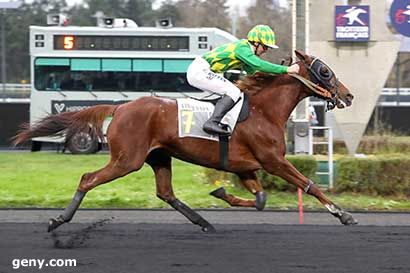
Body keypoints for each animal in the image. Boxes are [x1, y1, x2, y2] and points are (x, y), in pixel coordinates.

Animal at [14, 50, 358, 231]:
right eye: (325, 71)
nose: (349, 95)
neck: (264, 111)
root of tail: (120, 107)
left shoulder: (246, 167)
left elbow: (260, 199)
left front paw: (221, 192)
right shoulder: (274, 161)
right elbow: (308, 185)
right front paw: (343, 214)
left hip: (158, 156)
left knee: (166, 193)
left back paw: (203, 221)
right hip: (127, 159)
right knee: (88, 178)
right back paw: (59, 220)